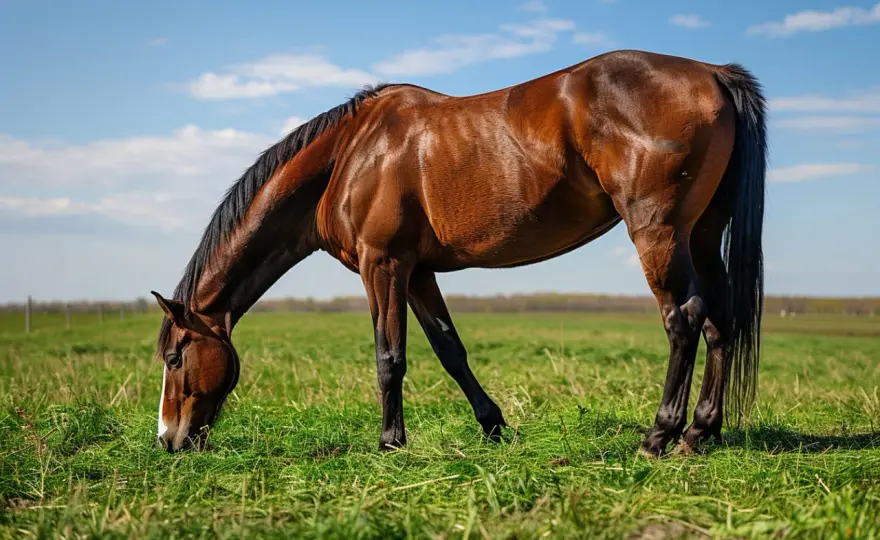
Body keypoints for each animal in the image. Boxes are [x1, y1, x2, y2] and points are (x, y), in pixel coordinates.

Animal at [151, 48, 766, 457]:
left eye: (176, 357)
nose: (168, 439)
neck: (350, 154)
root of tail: (712, 72)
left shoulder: (383, 265)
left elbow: (390, 357)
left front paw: (390, 442)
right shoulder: (419, 272)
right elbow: (451, 351)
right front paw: (494, 426)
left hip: (658, 232)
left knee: (684, 319)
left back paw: (659, 435)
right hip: (701, 235)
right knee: (718, 320)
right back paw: (700, 431)